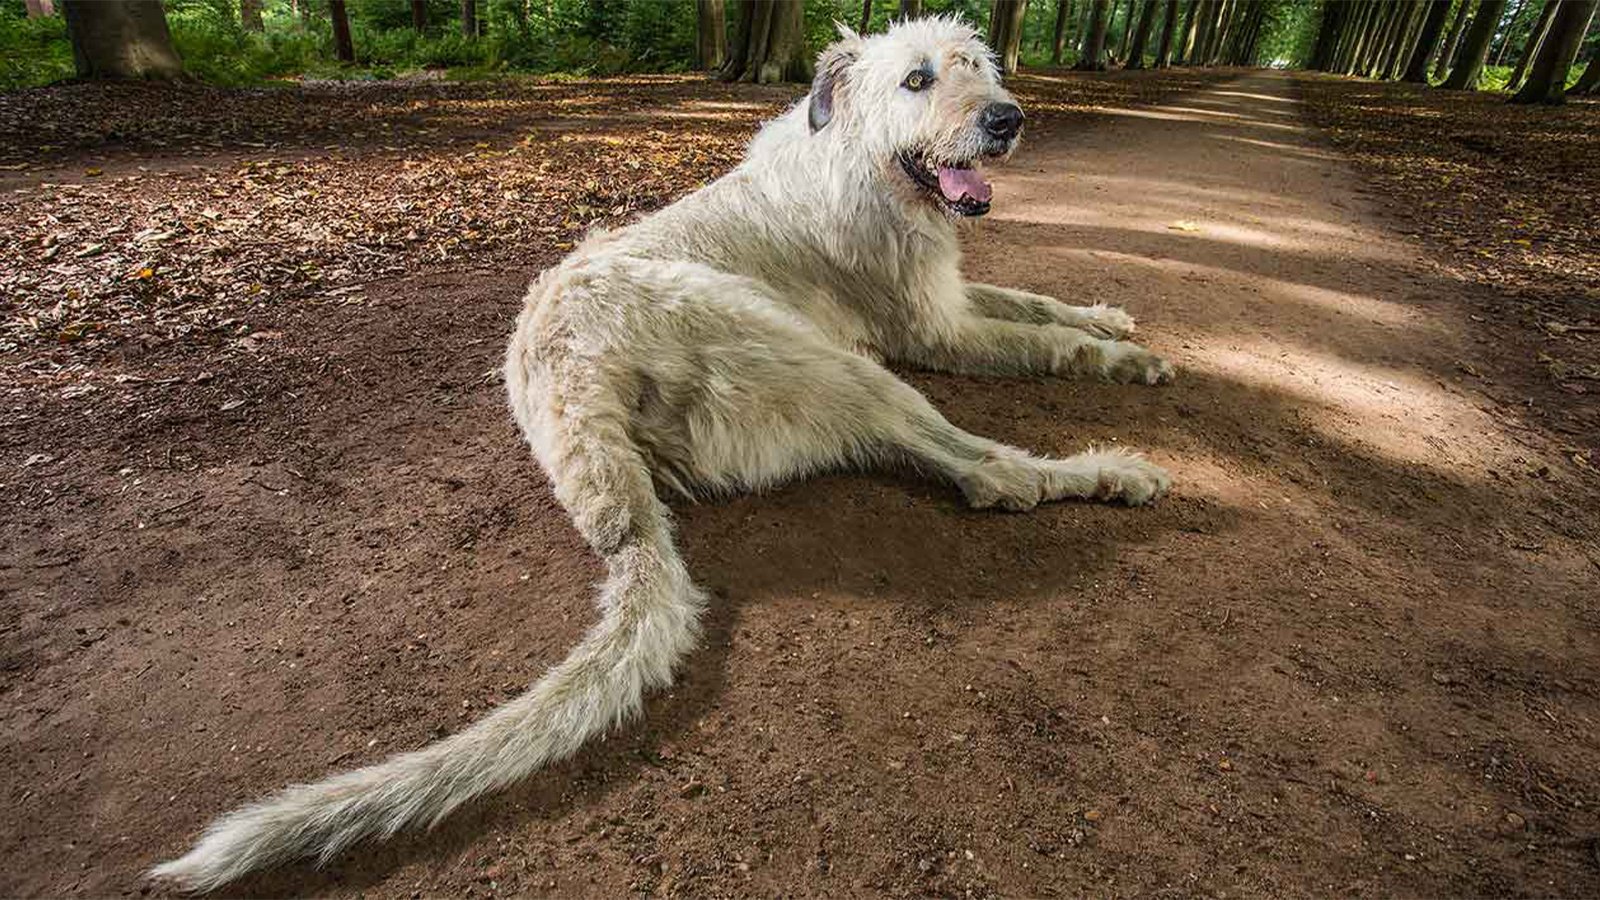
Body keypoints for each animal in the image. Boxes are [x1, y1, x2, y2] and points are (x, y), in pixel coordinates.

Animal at [150, 15, 1177, 890]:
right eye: (916, 79)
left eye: (977, 66)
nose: (1007, 119)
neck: (857, 159)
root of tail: (573, 400)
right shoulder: (935, 331)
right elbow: (1041, 341)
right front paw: (1124, 358)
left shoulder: (952, 296)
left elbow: (1032, 302)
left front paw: (1106, 315)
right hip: (822, 356)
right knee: (986, 472)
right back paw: (1107, 470)